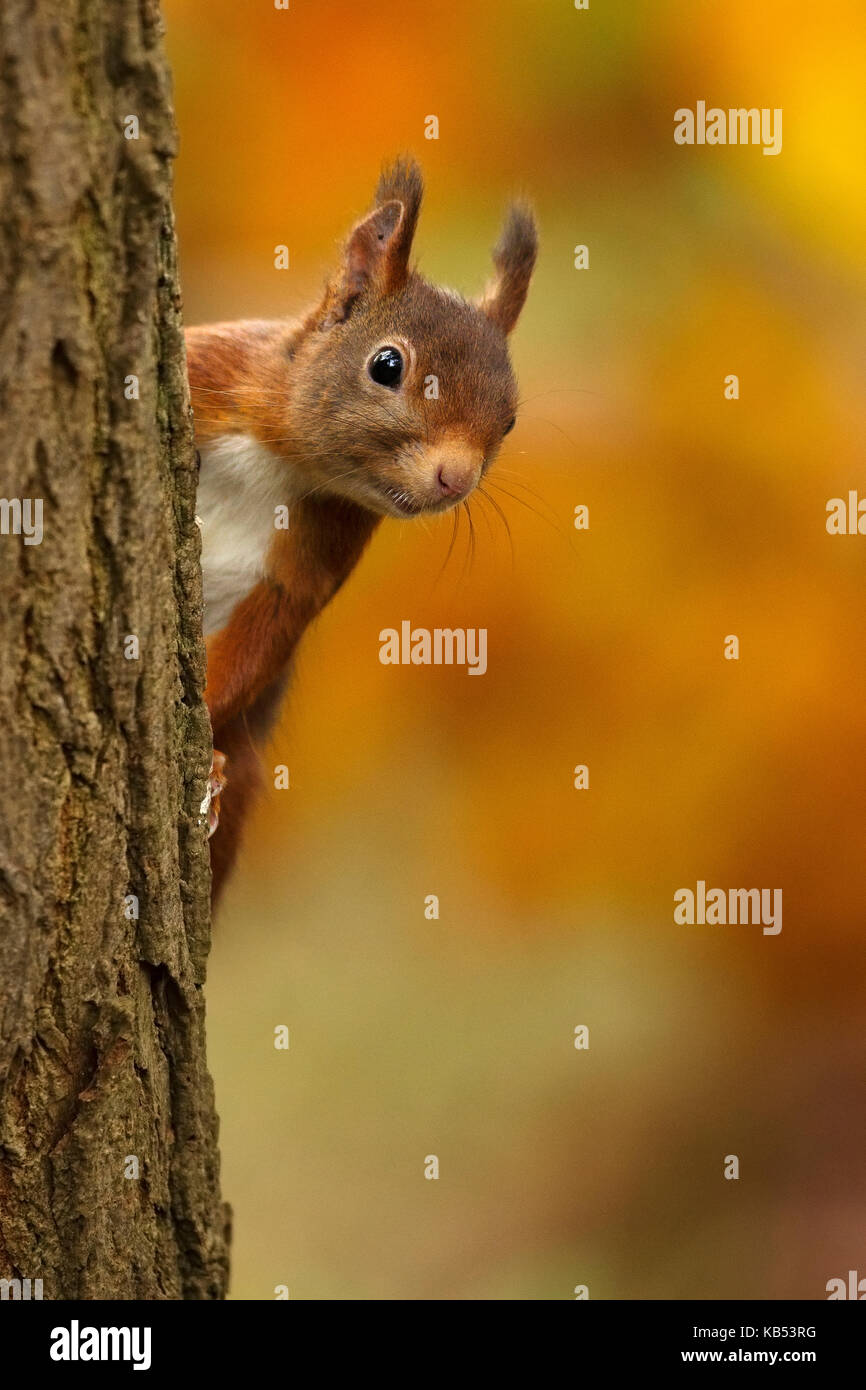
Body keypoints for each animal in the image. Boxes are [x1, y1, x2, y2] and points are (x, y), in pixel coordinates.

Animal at [187, 159, 536, 900]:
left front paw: (204, 746)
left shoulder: (320, 551)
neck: (286, 460)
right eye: (387, 365)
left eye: (511, 419)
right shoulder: (211, 370)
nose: (455, 478)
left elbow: (269, 626)